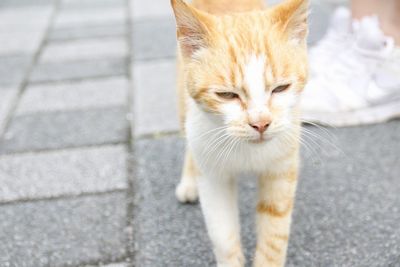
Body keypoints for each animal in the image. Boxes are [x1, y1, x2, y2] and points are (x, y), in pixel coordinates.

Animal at [170, 1, 308, 266]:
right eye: (226, 95)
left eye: (281, 88)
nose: (261, 123)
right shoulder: (213, 177)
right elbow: (223, 235)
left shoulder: (282, 169)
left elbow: (274, 236)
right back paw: (189, 182)